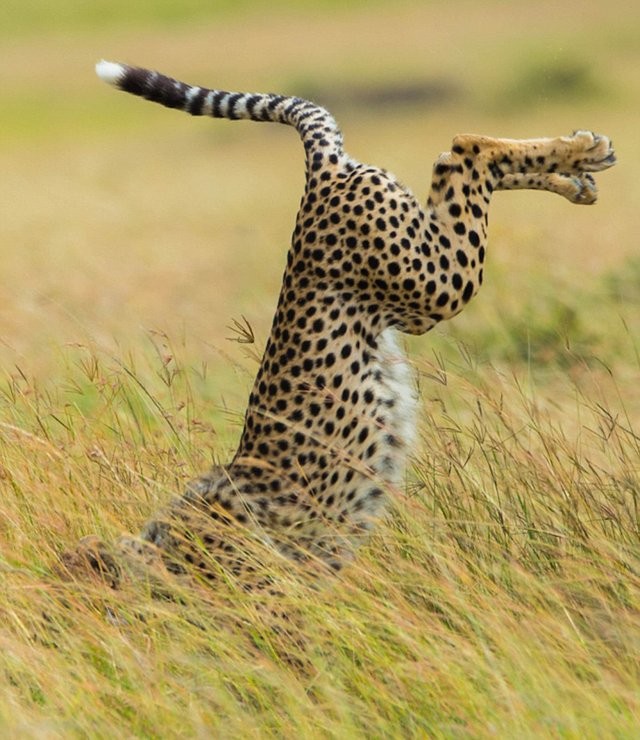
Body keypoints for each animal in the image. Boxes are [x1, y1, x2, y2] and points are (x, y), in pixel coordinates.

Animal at [60, 62, 616, 596]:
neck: (153, 547)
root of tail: (321, 175)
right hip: (418, 292)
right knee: (457, 165)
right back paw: (577, 171)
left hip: (436, 282)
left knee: (463, 150)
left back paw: (578, 153)